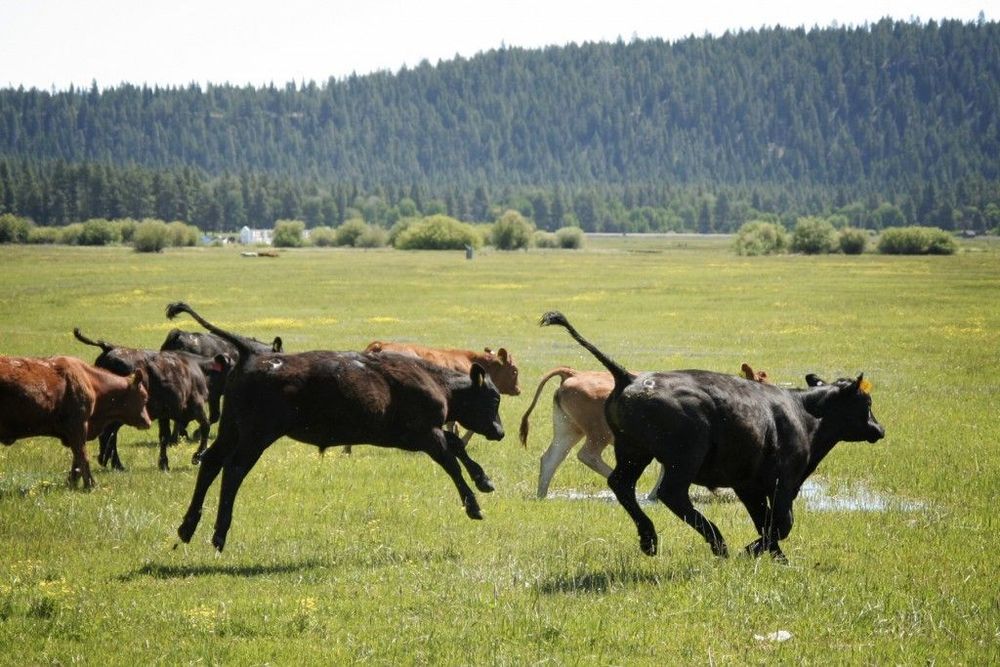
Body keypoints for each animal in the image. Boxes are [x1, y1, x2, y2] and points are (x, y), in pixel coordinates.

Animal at [0, 355, 151, 488]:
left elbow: (77, 459)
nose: (148, 422)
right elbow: (82, 456)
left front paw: (71, 484)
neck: (91, 383)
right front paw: (90, 485)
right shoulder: (77, 425)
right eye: (144, 397)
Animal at [73, 328, 212, 471]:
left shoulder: (164, 414)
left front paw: (163, 464)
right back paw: (113, 463)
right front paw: (197, 456)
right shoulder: (196, 406)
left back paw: (111, 462)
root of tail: (110, 348)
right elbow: (205, 426)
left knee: (108, 434)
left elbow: (164, 436)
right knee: (109, 434)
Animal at [164, 302, 506, 552]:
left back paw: (187, 527)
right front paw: (474, 505)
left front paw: (485, 480)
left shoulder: (418, 435)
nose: (500, 432)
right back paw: (219, 534)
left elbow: (457, 446)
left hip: (232, 427)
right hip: (256, 435)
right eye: (493, 399)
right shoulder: (426, 434)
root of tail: (251, 353)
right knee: (233, 469)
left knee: (211, 462)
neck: (435, 381)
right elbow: (451, 460)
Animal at [520, 363, 772, 499]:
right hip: (596, 433)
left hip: (568, 430)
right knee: (587, 455)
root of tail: (573, 373)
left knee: (551, 458)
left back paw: (542, 495)